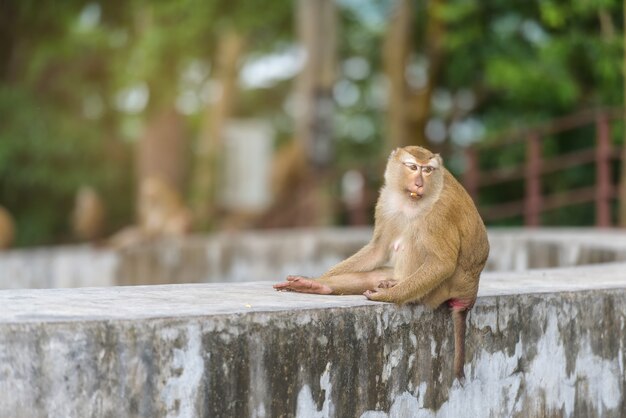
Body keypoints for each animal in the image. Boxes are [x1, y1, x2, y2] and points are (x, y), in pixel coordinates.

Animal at [272, 145, 488, 380]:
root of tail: (468, 295)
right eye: (413, 167)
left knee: (417, 235)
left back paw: (393, 287)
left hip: (437, 290)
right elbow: (378, 249)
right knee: (374, 272)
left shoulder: (441, 211)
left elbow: (442, 263)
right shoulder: (386, 200)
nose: (419, 183)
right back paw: (321, 286)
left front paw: (387, 296)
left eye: (427, 170)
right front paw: (316, 281)